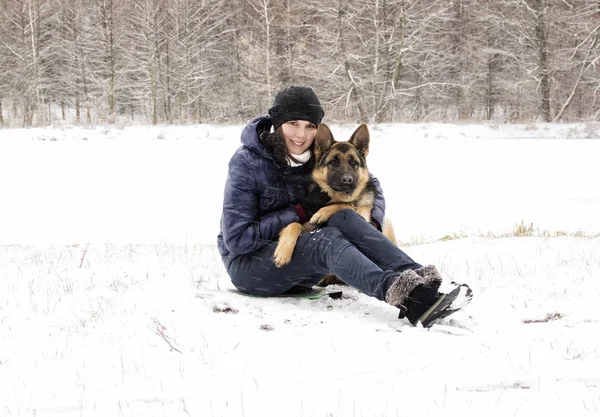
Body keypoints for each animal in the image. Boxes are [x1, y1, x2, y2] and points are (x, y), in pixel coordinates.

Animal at [274, 122, 396, 270]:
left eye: (353, 162)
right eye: (333, 162)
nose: (347, 180)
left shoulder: (362, 216)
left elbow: (346, 205)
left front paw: (323, 212)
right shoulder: (306, 225)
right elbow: (294, 224)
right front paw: (283, 252)